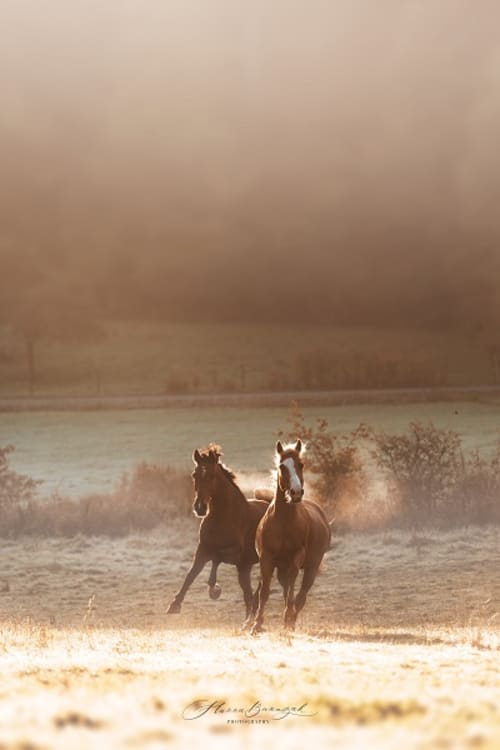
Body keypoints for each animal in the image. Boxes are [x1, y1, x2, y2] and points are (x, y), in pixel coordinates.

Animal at [167, 445, 271, 623]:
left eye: (212, 475)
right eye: (194, 475)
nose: (200, 508)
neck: (223, 517)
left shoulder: (234, 553)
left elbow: (216, 558)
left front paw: (214, 589)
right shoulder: (202, 550)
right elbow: (191, 574)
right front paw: (174, 605)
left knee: (259, 587)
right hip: (245, 567)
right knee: (248, 595)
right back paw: (247, 619)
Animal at [250, 439, 331, 634]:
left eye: (301, 464)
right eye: (282, 466)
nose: (296, 493)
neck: (284, 522)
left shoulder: (297, 557)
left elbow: (293, 587)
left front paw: (287, 617)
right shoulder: (267, 558)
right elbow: (265, 590)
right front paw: (257, 624)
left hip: (311, 567)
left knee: (301, 594)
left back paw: (291, 619)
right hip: (281, 568)